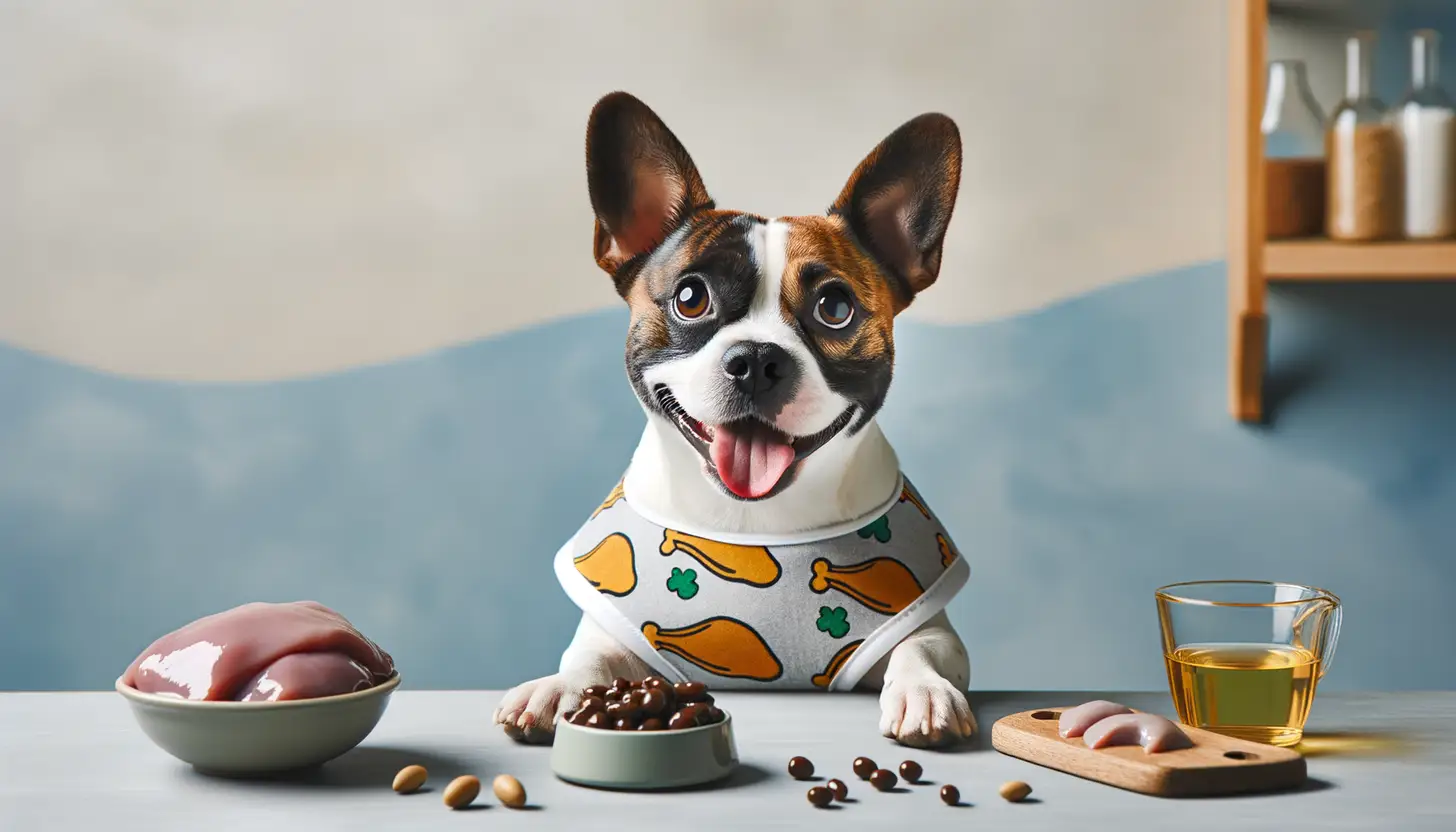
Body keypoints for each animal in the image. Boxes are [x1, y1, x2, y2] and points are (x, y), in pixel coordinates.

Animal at [492, 91, 978, 746]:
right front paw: (554, 688)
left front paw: (924, 692)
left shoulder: (929, 627)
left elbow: (920, 649)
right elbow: (588, 658)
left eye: (835, 308)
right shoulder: (614, 632)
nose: (756, 360)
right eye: (690, 298)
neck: (758, 519)